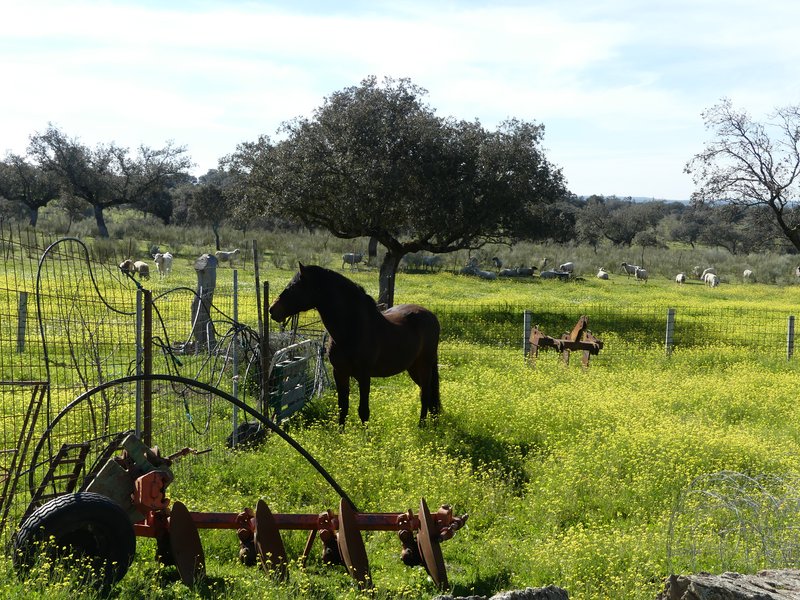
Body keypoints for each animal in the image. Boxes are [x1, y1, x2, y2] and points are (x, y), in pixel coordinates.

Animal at [270, 262, 444, 426]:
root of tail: (430, 315)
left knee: (425, 394)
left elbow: (363, 411)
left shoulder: (364, 375)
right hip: (413, 367)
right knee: (427, 392)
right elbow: (343, 407)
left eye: (293, 287)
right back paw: (433, 423)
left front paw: (365, 438)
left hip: (424, 365)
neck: (352, 329)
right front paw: (340, 435)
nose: (272, 310)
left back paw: (422, 426)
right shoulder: (340, 372)